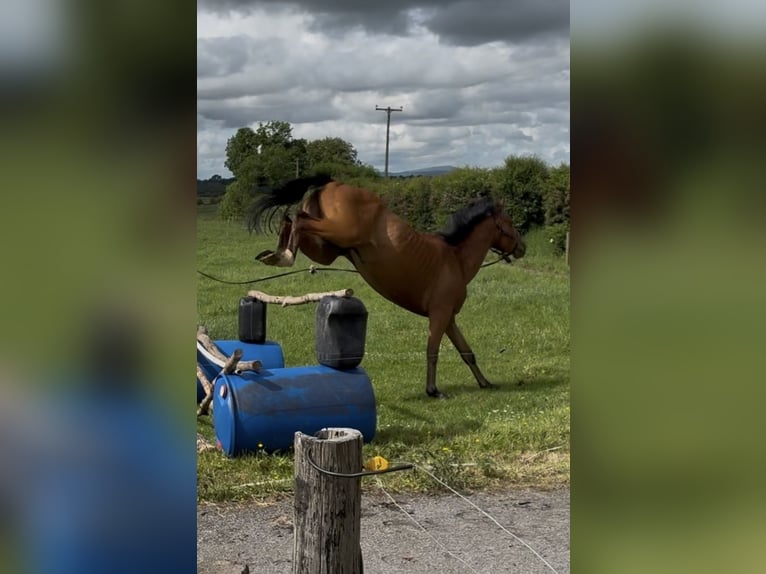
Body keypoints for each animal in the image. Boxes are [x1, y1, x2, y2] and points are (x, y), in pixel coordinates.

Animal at [249, 175, 526, 399]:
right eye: (510, 222)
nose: (522, 248)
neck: (455, 258)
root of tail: (331, 183)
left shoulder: (449, 319)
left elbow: (466, 352)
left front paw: (485, 383)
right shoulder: (439, 315)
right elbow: (432, 351)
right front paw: (433, 391)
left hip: (326, 249)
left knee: (290, 221)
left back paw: (277, 255)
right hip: (339, 233)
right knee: (297, 219)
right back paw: (285, 256)